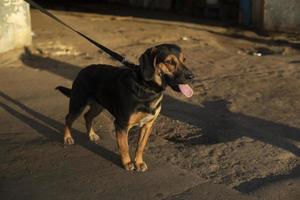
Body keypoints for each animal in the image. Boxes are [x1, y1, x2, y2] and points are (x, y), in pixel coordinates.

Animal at [55, 43, 195, 172]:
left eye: (184, 60)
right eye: (169, 62)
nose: (192, 76)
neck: (147, 88)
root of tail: (83, 70)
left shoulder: (147, 125)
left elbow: (140, 146)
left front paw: (138, 162)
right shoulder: (121, 124)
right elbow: (125, 146)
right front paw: (127, 163)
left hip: (98, 106)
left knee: (87, 116)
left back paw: (92, 135)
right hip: (78, 104)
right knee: (68, 118)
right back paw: (67, 138)